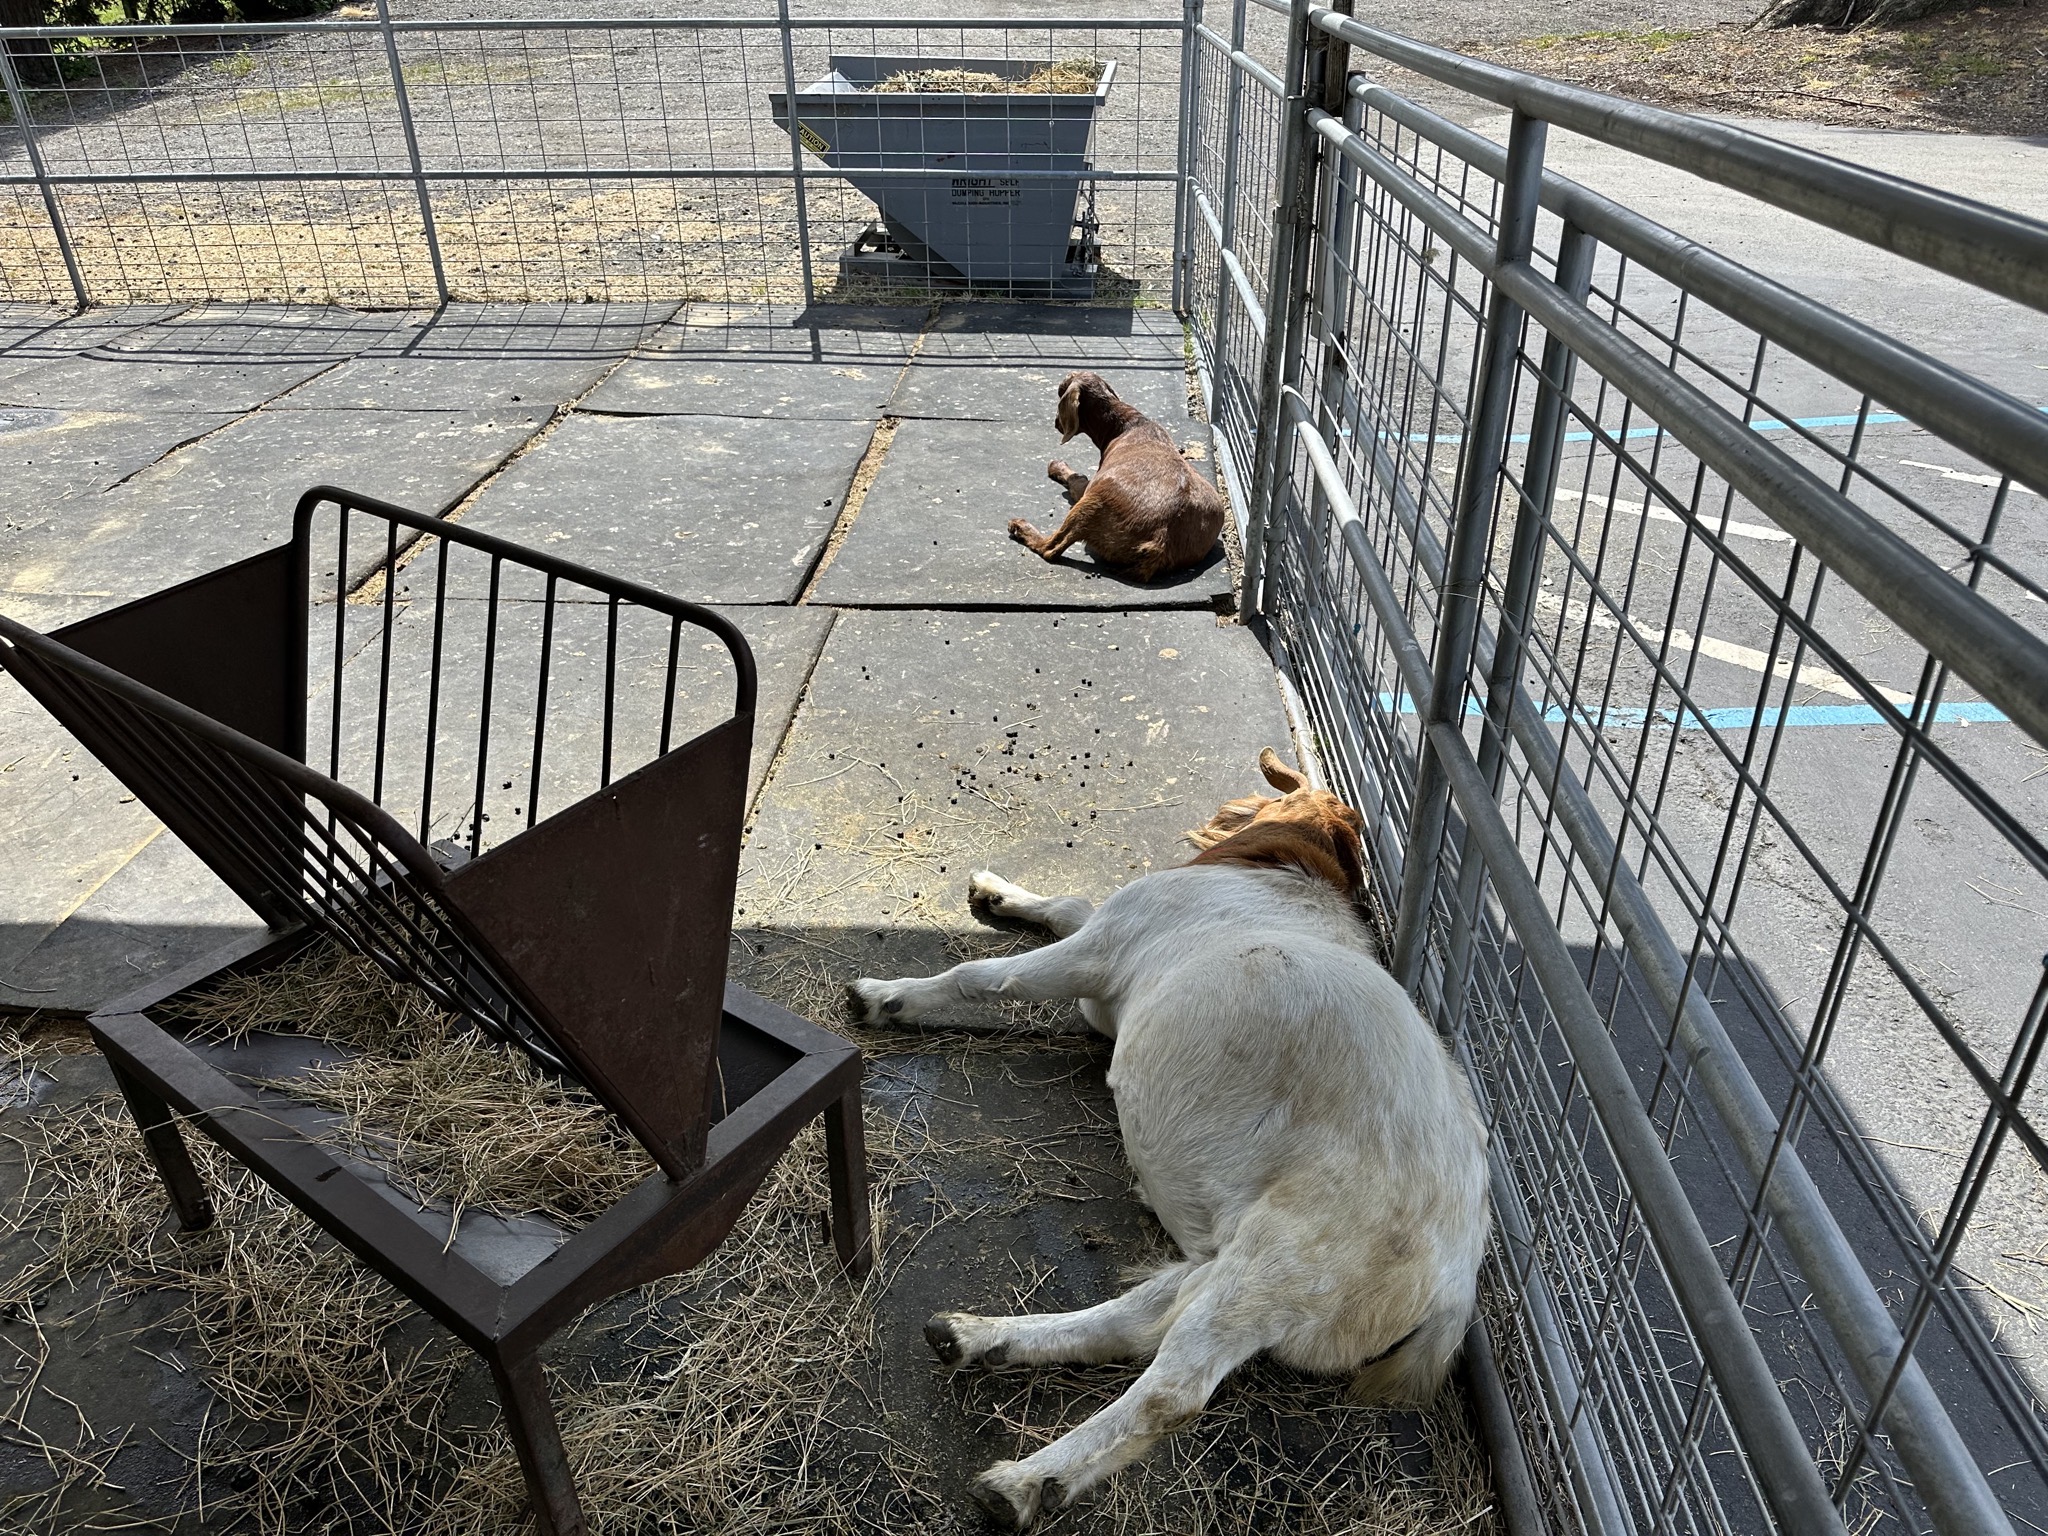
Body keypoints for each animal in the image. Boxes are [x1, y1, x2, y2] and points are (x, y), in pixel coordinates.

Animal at [846, 749, 1490, 1530]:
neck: (1289, 875)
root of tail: (1455, 1284)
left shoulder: (1100, 950)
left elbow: (986, 976)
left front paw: (885, 996)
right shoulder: (1107, 961)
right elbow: (1071, 906)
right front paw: (999, 892)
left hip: (1278, 1267)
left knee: (1172, 1390)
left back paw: (1024, 1482)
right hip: (1230, 1260)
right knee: (1136, 1323)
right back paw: (978, 1338)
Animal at [1005, 369, 1226, 581]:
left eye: (1060, 392)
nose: (1056, 422)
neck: (1125, 424)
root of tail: (1160, 542)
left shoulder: (1090, 486)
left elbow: (1078, 480)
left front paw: (1057, 466)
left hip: (1090, 504)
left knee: (1050, 549)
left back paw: (1020, 527)